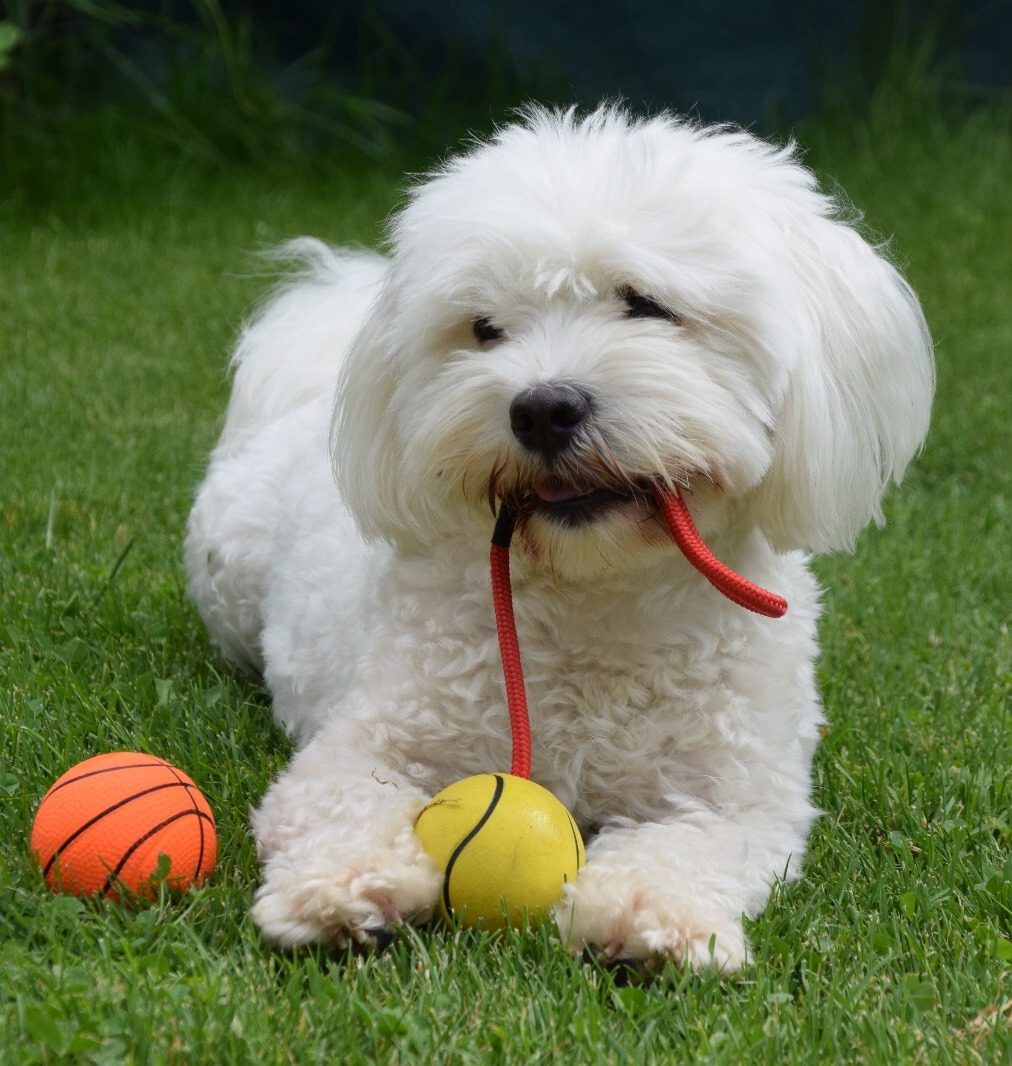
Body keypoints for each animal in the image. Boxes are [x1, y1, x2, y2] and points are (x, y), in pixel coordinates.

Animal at [185, 105, 934, 970]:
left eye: (644, 303)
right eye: (485, 329)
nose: (542, 408)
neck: (594, 592)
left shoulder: (742, 795)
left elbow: (694, 845)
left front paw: (647, 915)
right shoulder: (364, 742)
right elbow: (338, 802)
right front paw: (339, 888)